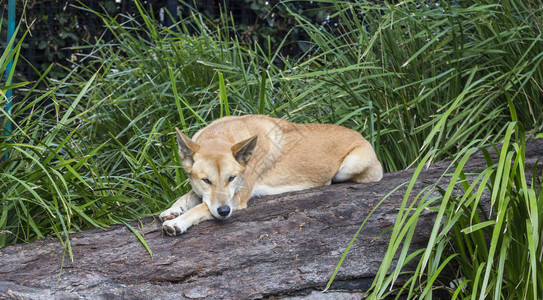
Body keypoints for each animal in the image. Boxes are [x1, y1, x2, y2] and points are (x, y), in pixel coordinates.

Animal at [160, 115, 382, 234]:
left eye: (231, 178)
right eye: (206, 180)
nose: (224, 211)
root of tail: (364, 137)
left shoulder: (236, 200)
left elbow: (200, 208)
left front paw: (178, 222)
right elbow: (188, 197)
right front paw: (172, 210)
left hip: (349, 167)